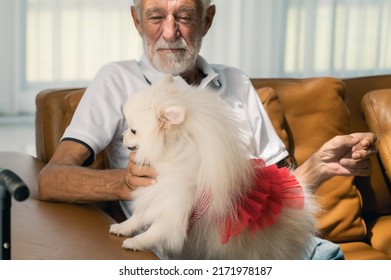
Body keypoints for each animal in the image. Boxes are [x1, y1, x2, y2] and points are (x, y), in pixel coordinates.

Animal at [108, 75, 316, 260]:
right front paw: (122, 228)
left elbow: (156, 230)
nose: (120, 137)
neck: (172, 155)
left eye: (133, 130)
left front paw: (136, 242)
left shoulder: (174, 209)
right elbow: (138, 217)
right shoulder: (157, 193)